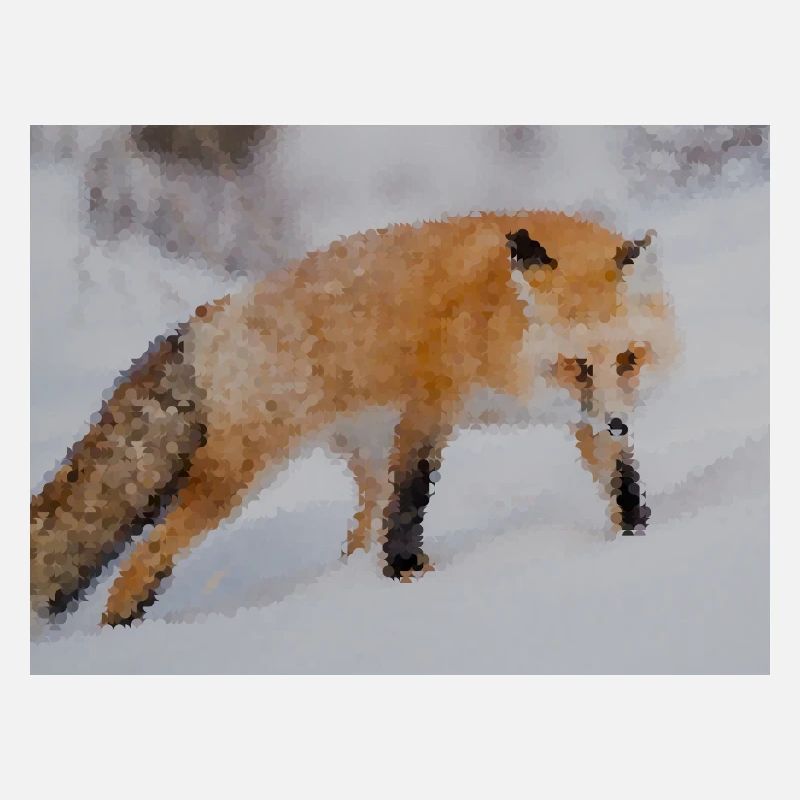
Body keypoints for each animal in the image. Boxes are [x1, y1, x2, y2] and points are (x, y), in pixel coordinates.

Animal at [31, 210, 679, 627]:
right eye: (577, 365)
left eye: (627, 359)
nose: (620, 423)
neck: (496, 321)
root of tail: (210, 315)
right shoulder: (425, 410)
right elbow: (411, 503)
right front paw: (407, 576)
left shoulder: (582, 419)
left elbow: (621, 482)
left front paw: (635, 537)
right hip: (237, 476)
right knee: (143, 557)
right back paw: (120, 627)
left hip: (362, 458)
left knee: (357, 535)